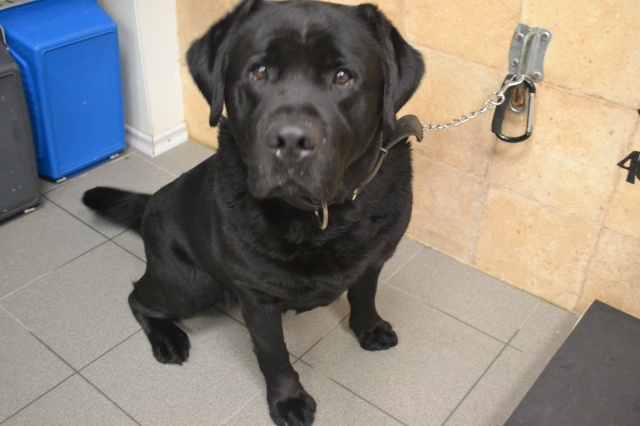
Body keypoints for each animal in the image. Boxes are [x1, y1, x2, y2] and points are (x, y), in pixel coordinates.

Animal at [83, 0, 424, 424]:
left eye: (343, 77)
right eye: (259, 72)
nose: (291, 140)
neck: (322, 216)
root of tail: (150, 202)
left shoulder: (374, 260)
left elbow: (364, 295)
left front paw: (369, 328)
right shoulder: (257, 297)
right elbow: (273, 353)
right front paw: (288, 400)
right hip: (187, 286)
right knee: (136, 297)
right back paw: (168, 338)